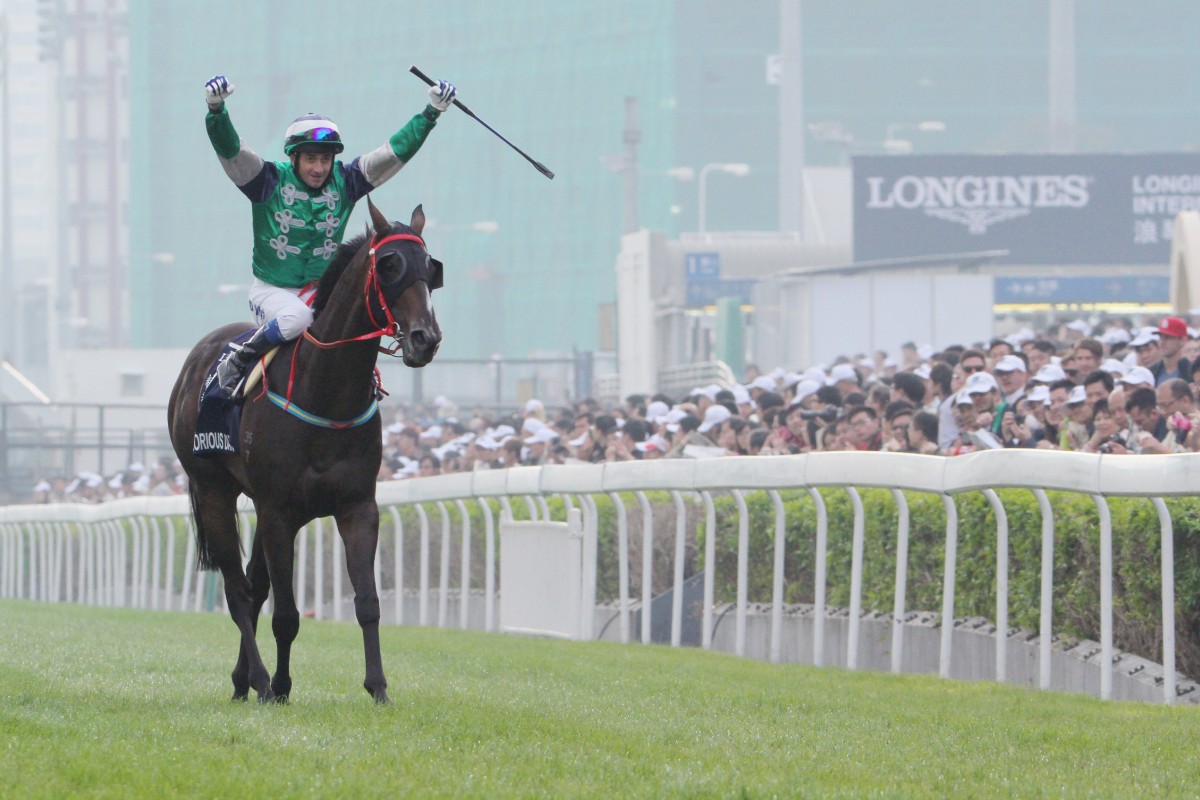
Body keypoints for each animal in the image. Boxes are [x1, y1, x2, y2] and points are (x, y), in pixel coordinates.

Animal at [168, 201, 441, 705]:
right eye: (389, 265)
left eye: (432, 268)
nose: (424, 339)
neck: (327, 392)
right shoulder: (280, 512)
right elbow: (287, 614)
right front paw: (278, 686)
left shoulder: (357, 506)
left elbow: (367, 603)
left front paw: (378, 688)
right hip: (212, 488)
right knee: (237, 591)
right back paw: (257, 680)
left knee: (252, 587)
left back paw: (241, 681)